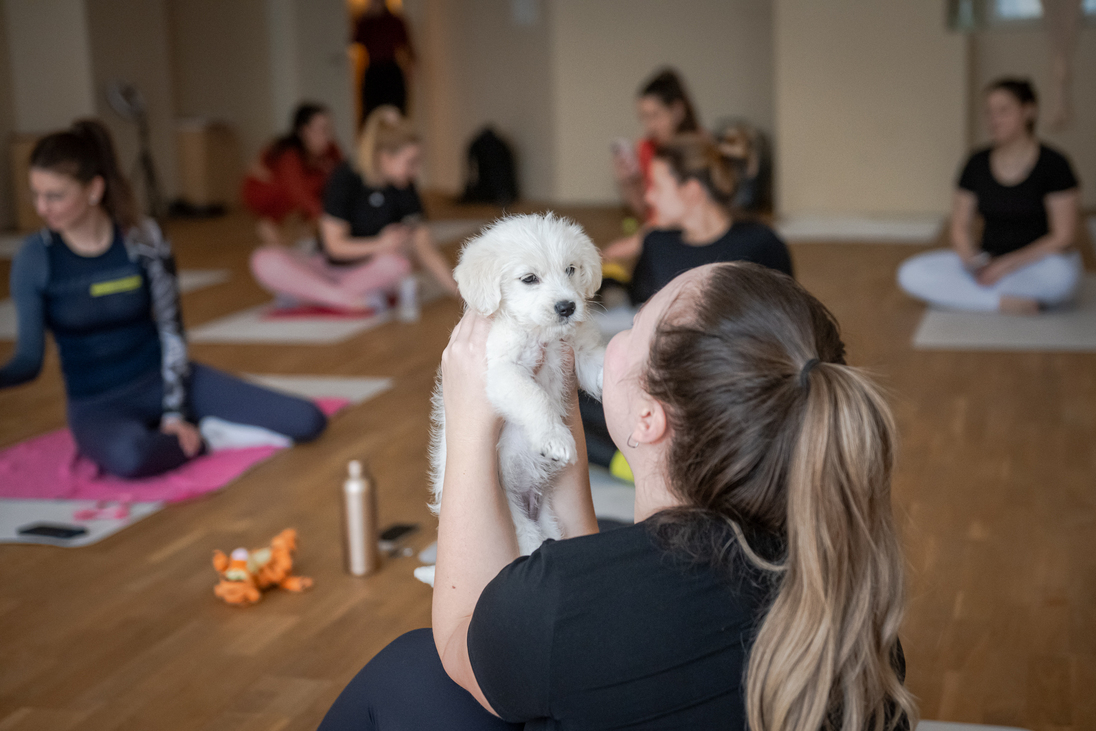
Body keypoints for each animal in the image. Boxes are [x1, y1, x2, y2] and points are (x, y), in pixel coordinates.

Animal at [427, 214, 604, 556]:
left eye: (570, 269)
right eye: (529, 279)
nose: (567, 307)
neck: (540, 333)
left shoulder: (580, 353)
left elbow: (605, 366)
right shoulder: (503, 373)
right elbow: (535, 398)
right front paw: (554, 438)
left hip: (549, 519)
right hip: (522, 531)